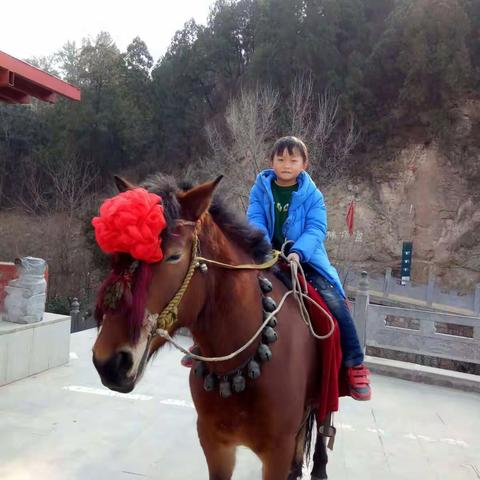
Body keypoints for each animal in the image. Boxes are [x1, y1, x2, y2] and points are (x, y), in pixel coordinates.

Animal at [93, 173, 334, 480]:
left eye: (174, 256)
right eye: (115, 258)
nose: (108, 362)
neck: (239, 362)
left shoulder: (277, 452)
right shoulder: (214, 444)